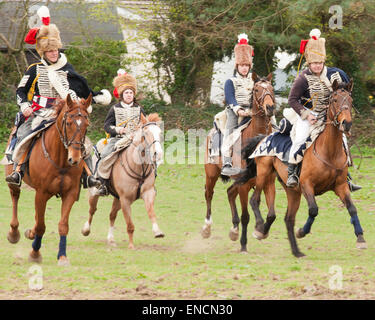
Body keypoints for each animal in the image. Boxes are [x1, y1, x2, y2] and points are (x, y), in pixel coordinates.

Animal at [5, 94, 92, 266]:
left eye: (86, 125)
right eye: (68, 123)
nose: (75, 159)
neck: (61, 161)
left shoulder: (70, 193)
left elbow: (63, 225)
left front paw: (63, 256)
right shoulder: (41, 193)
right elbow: (41, 226)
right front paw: (35, 253)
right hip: (15, 184)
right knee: (15, 198)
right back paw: (14, 232)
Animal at [81, 114, 164, 249]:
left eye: (160, 132)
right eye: (146, 133)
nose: (158, 154)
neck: (138, 168)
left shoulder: (148, 193)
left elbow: (151, 212)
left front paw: (158, 232)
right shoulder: (125, 199)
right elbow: (129, 224)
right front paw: (131, 245)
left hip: (117, 198)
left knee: (112, 215)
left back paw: (111, 239)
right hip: (95, 193)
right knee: (92, 210)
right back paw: (86, 230)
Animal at [203, 70, 276, 252]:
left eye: (271, 88)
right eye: (256, 90)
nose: (270, 107)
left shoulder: (268, 183)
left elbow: (271, 214)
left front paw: (260, 231)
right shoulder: (244, 186)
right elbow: (246, 216)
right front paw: (244, 245)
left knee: (230, 193)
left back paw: (234, 230)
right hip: (211, 174)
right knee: (209, 194)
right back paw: (207, 228)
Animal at [241, 79, 368, 258]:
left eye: (350, 101)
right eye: (335, 100)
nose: (347, 123)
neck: (329, 152)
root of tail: (264, 137)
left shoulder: (341, 186)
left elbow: (352, 209)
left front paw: (360, 238)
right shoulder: (307, 185)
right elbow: (314, 210)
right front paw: (302, 231)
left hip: (292, 192)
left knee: (288, 219)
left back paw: (294, 250)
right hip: (264, 174)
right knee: (254, 199)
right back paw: (260, 229)